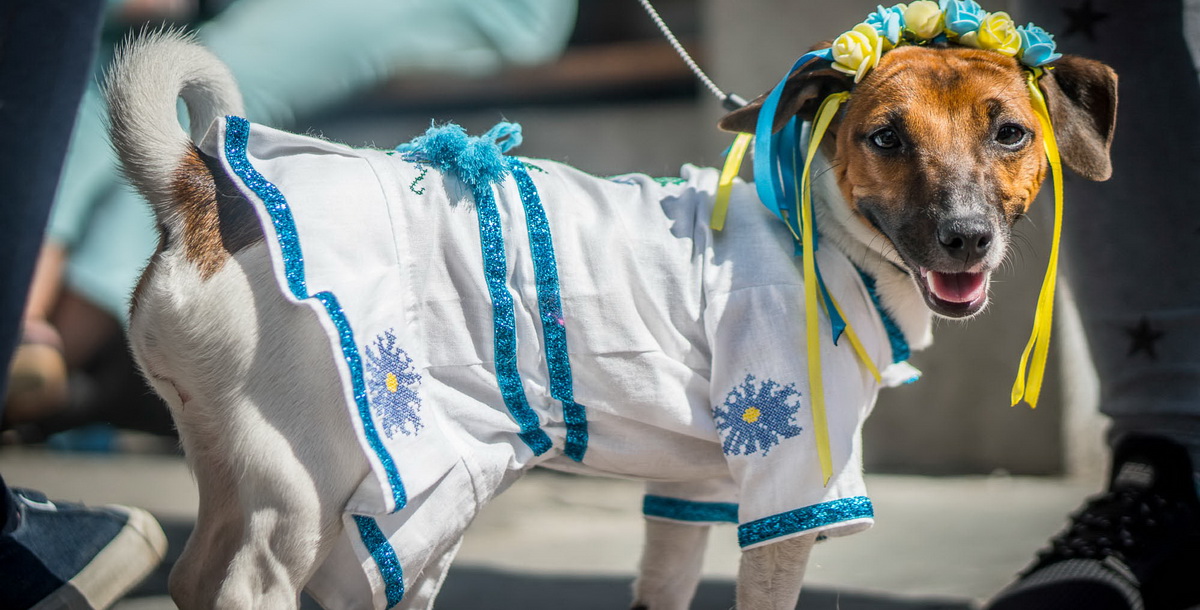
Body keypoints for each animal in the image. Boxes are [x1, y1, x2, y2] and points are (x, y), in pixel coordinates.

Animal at [108, 21, 1118, 607]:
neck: (820, 233)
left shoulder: (694, 493)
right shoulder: (791, 479)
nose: (965, 238)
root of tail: (200, 189)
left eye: (1009, 132)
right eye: (884, 138)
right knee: (249, 585)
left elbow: (661, 587)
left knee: (196, 575)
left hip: (239, 470)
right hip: (307, 493)